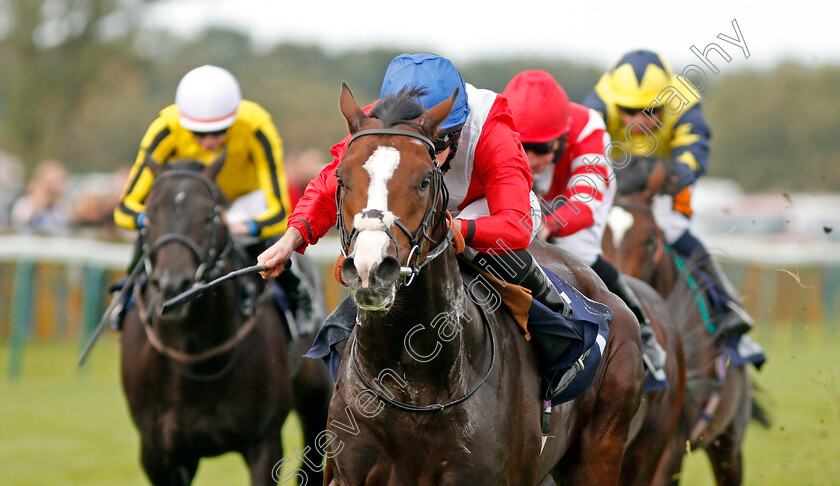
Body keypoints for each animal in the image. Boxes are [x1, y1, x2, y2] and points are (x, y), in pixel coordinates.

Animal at [120, 157, 334, 486]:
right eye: (150, 214)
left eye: (210, 215)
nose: (172, 285)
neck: (195, 360)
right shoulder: (158, 451)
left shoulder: (263, 443)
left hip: (316, 399)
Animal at [322, 84, 644, 486]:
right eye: (341, 178)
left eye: (424, 180)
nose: (371, 268)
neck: (412, 378)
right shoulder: (348, 474)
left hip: (601, 449)